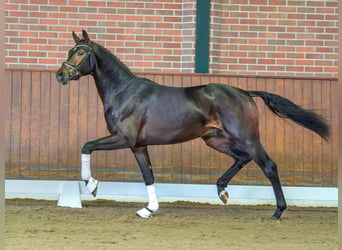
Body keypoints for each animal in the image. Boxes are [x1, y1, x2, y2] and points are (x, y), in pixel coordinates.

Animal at [56, 30, 328, 220]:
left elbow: (86, 146)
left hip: (247, 137)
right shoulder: (138, 145)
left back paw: (278, 212)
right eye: (70, 50)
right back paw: (222, 191)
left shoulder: (124, 139)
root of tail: (245, 92)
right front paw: (149, 209)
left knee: (269, 166)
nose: (61, 75)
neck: (124, 92)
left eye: (80, 52)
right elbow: (148, 175)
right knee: (242, 158)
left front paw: (91, 185)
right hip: (215, 139)